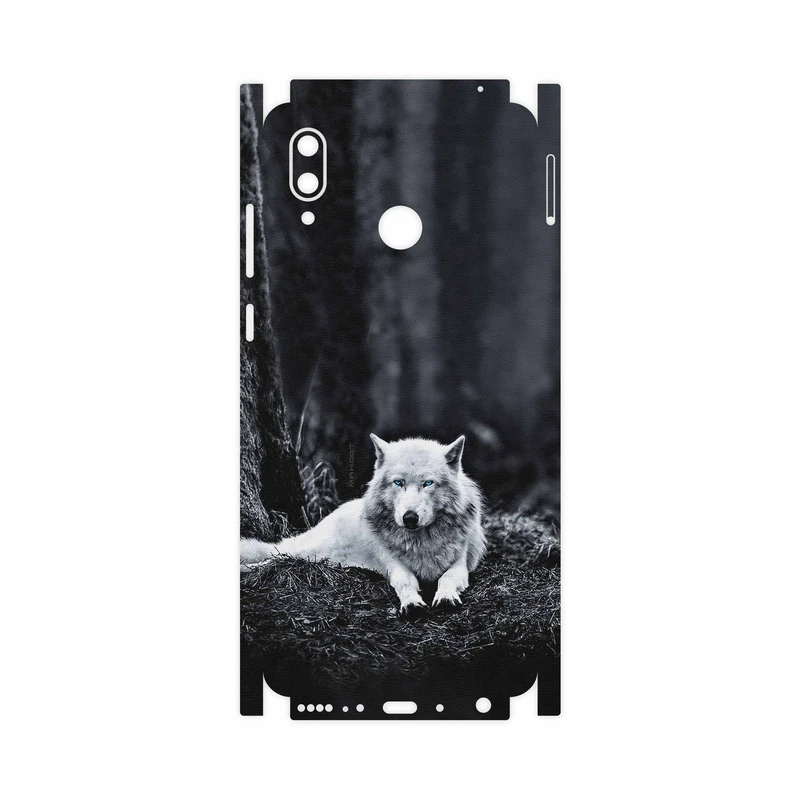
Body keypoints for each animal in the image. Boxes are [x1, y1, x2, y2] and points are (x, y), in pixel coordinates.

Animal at [240, 434, 486, 618]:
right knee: (276, 556)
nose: (409, 518)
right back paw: (248, 568)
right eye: (398, 482)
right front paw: (411, 603)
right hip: (308, 551)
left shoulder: (460, 564)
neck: (421, 542)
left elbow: (447, 578)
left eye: (428, 483)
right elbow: (405, 582)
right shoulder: (393, 565)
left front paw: (445, 597)